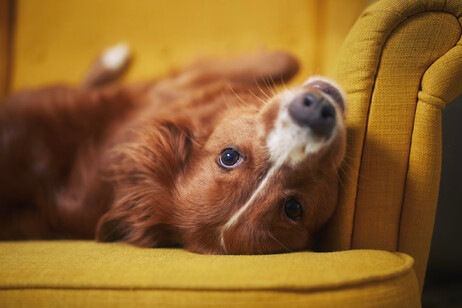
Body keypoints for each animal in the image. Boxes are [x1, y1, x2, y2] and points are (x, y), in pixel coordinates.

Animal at [0, 44, 346, 254]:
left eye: (293, 208)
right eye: (229, 156)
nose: (315, 114)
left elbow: (287, 58)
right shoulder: (184, 81)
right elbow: (282, 58)